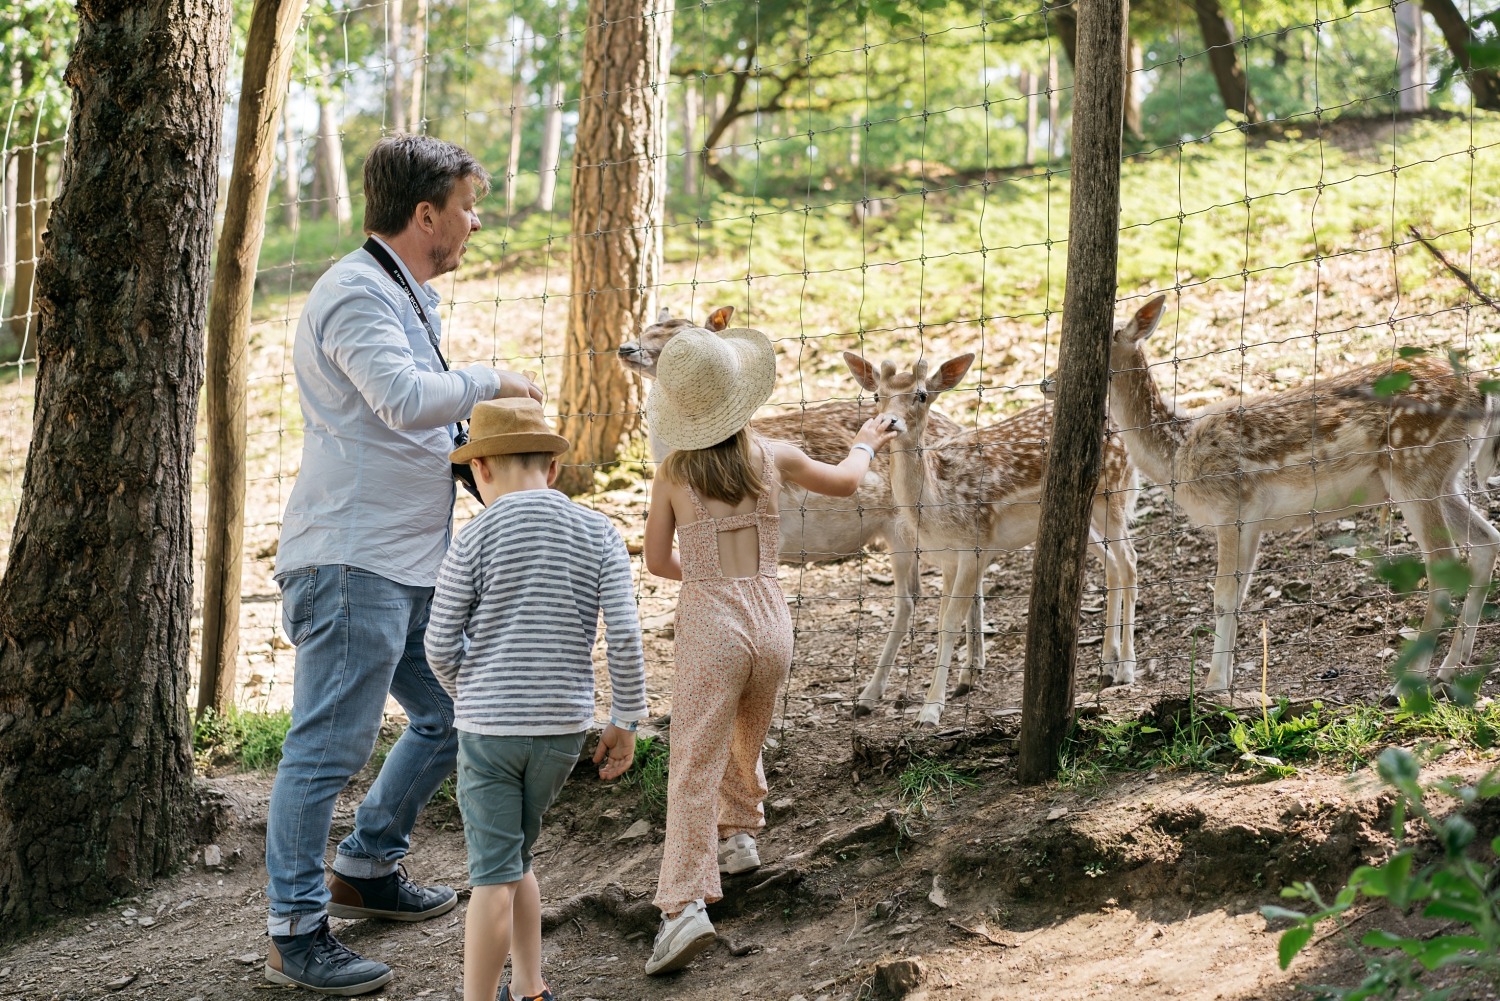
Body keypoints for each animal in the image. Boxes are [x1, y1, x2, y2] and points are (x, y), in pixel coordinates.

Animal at [615, 309, 966, 717]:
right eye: (646, 328)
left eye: (679, 337)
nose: (626, 348)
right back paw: (967, 678)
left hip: (903, 527)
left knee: (911, 598)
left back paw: (869, 696)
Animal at [846, 352, 1134, 729]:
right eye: (877, 394)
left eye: (921, 394)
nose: (889, 421)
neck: (938, 505)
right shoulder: (947, 559)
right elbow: (941, 619)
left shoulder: (975, 547)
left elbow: (950, 623)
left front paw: (930, 711)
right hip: (1086, 516)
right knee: (1113, 564)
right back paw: (1107, 665)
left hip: (1115, 494)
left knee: (1130, 563)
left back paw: (1127, 668)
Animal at [1104, 294, 1500, 693]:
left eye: (1106, 337)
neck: (1178, 451)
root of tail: (1481, 392)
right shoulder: (1252, 520)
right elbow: (1239, 597)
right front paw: (1226, 683)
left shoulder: (1229, 507)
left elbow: (1222, 597)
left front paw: (1212, 685)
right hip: (1441, 478)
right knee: (1486, 540)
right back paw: (1451, 669)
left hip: (1414, 467)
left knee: (1445, 562)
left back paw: (1407, 684)